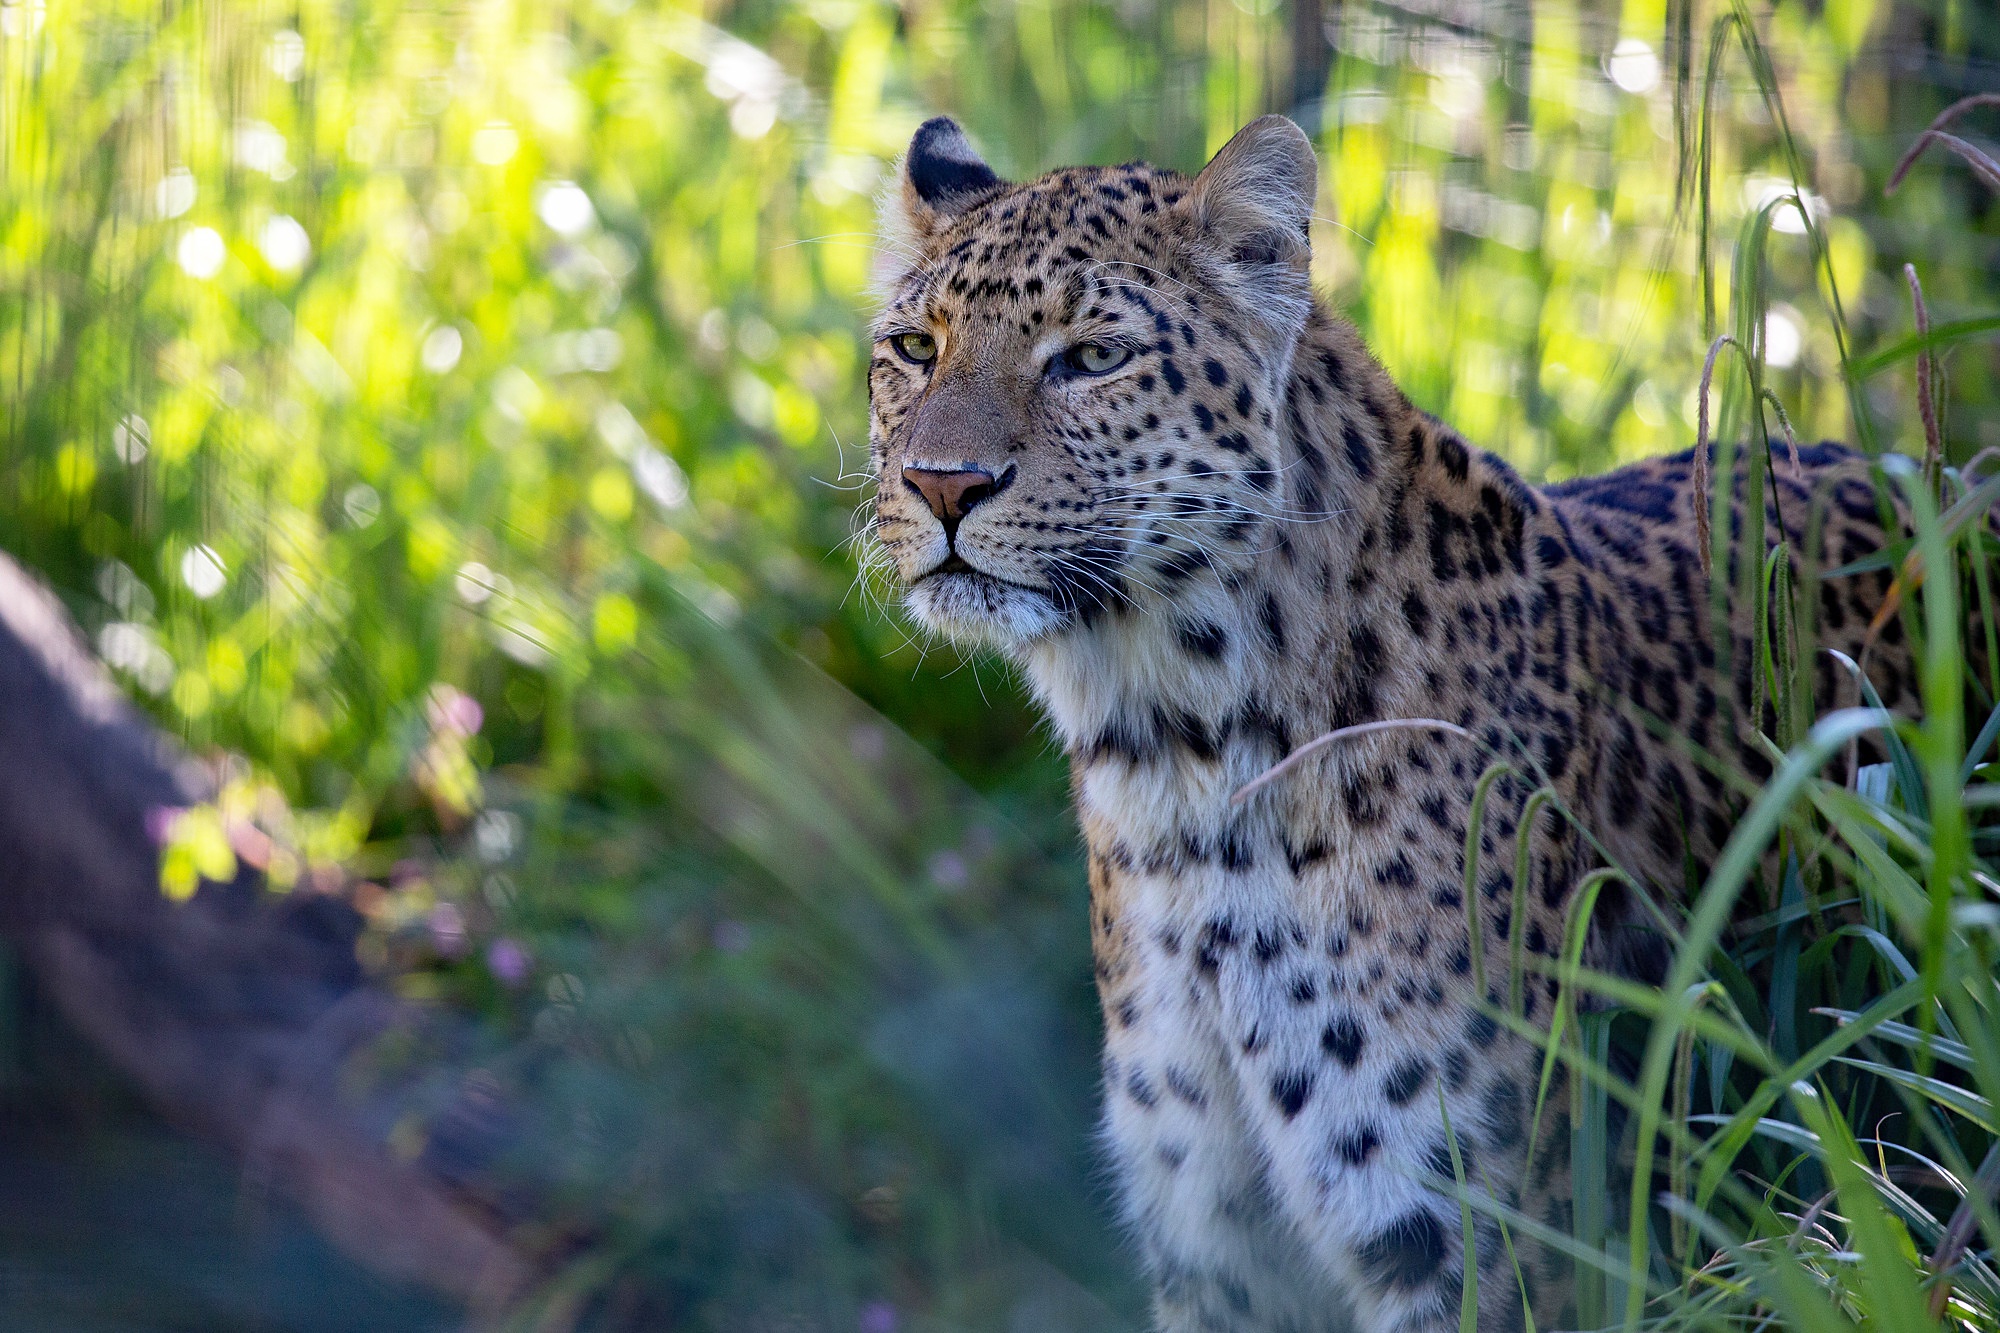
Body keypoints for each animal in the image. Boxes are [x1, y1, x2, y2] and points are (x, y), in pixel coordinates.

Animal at [860, 114, 1920, 1328]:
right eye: (912, 348)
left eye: (1090, 358)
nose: (941, 485)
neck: (1175, 761)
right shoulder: (1211, 1248)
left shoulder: (1477, 1247)